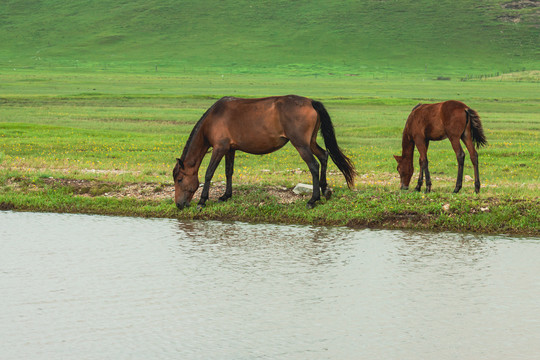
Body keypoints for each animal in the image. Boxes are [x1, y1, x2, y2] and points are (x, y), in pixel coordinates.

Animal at [174, 94, 358, 210]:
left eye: (180, 179)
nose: (179, 205)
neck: (214, 118)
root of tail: (310, 102)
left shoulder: (219, 148)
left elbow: (209, 173)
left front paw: (202, 201)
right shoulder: (230, 149)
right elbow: (228, 171)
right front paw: (226, 195)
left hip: (301, 145)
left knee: (313, 165)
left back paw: (313, 199)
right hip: (310, 142)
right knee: (324, 156)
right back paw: (325, 190)